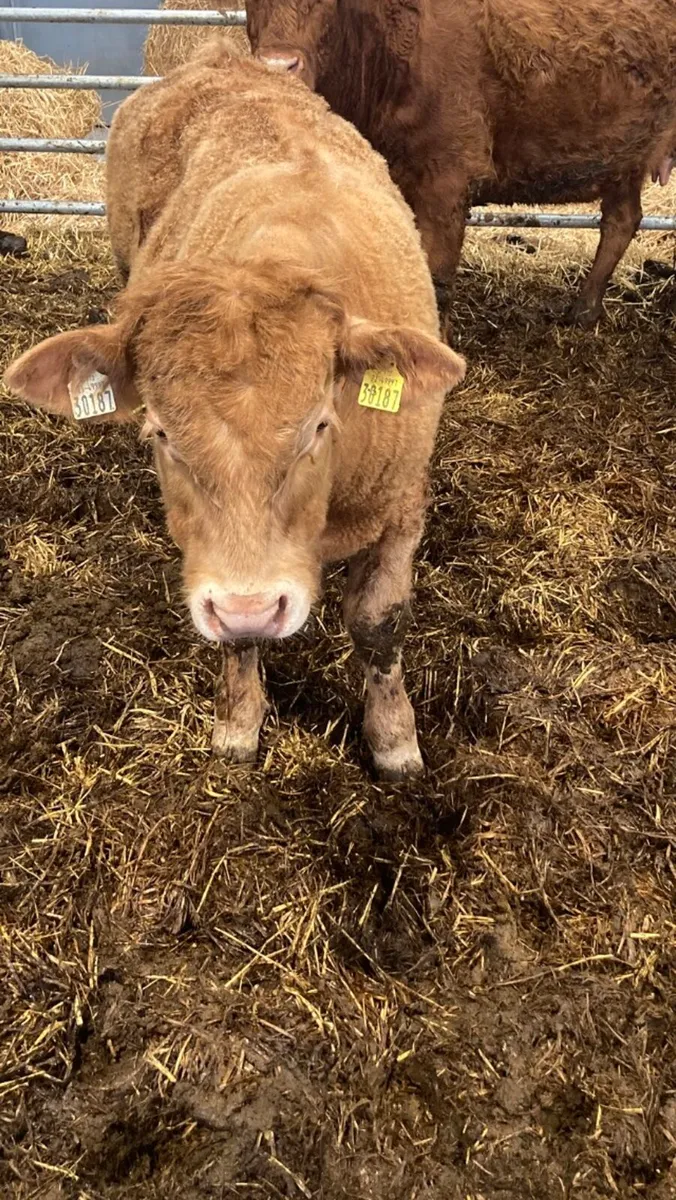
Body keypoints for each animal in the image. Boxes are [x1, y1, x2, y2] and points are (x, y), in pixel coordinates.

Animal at [3, 39, 465, 780]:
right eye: (161, 434)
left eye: (319, 426)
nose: (253, 605)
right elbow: (237, 639)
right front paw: (239, 724)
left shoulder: (401, 502)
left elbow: (378, 622)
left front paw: (395, 739)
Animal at [247, 0, 676, 329]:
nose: (278, 65)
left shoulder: (447, 181)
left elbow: (437, 280)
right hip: (624, 157)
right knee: (622, 219)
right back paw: (583, 312)